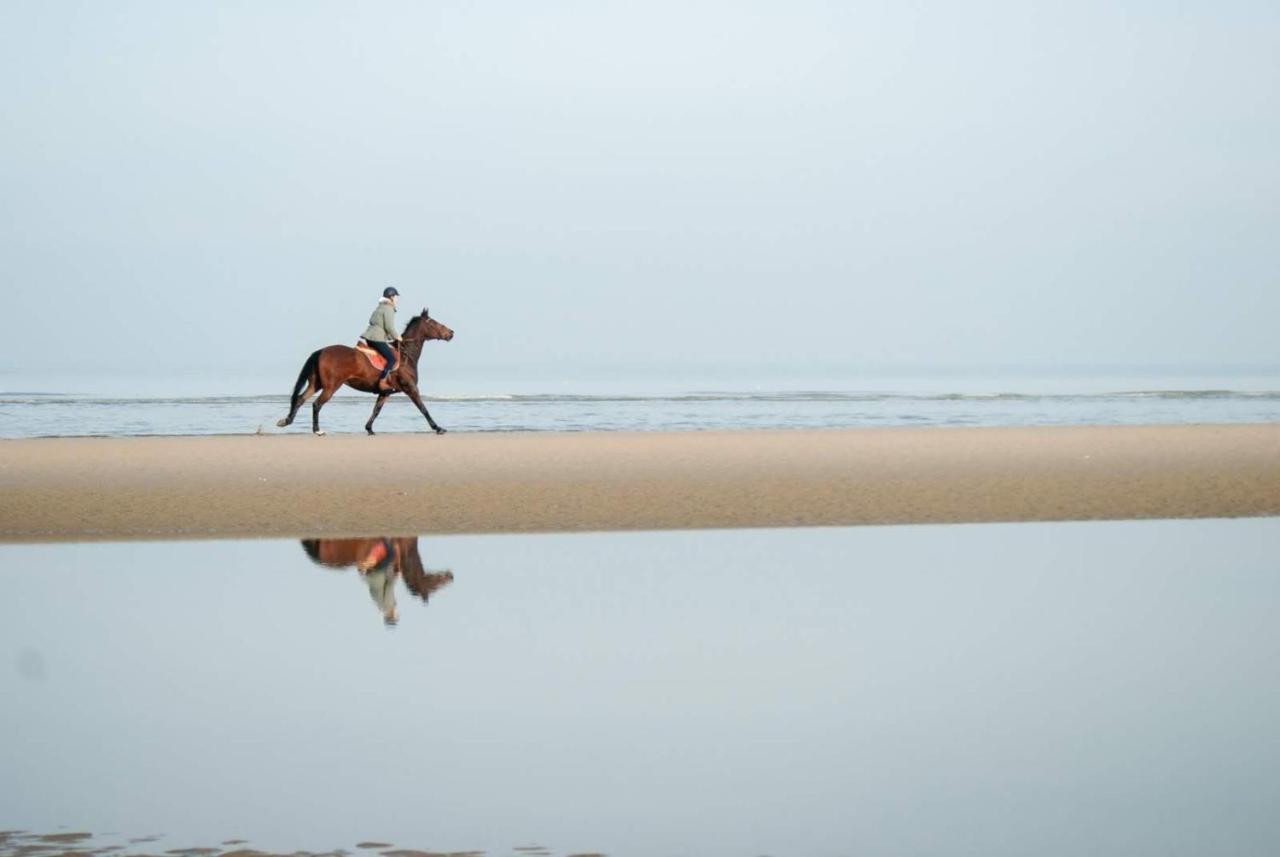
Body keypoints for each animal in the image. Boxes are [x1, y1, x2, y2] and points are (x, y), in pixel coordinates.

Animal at [275, 306, 455, 437]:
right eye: (434, 323)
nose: (451, 333)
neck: (405, 355)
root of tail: (320, 351)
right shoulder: (411, 388)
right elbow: (423, 408)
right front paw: (438, 428)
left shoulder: (385, 392)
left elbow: (376, 411)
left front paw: (369, 429)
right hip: (331, 386)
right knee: (316, 404)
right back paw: (317, 430)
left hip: (316, 383)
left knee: (300, 399)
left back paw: (286, 421)